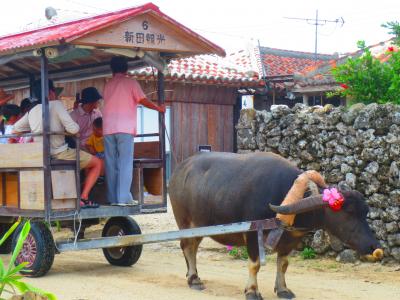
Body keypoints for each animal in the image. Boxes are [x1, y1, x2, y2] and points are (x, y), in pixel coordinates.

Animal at [168, 152, 382, 300]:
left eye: (366, 212)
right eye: (348, 212)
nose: (374, 247)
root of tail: (179, 170)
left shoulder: (289, 241)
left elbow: (283, 264)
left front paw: (283, 289)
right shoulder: (253, 235)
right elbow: (254, 265)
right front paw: (252, 291)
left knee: (192, 247)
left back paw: (193, 276)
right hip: (185, 222)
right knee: (187, 247)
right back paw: (194, 279)